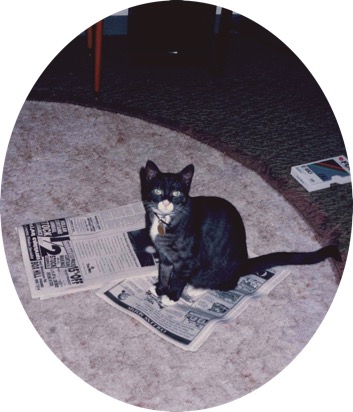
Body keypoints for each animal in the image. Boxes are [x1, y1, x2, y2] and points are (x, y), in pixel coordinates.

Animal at [139, 159, 340, 300]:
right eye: (157, 191)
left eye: (176, 193)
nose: (166, 202)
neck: (166, 221)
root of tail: (243, 263)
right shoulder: (165, 256)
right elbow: (164, 273)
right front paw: (159, 289)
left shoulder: (187, 261)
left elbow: (178, 279)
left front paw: (171, 297)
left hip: (216, 270)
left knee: (227, 284)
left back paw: (196, 289)